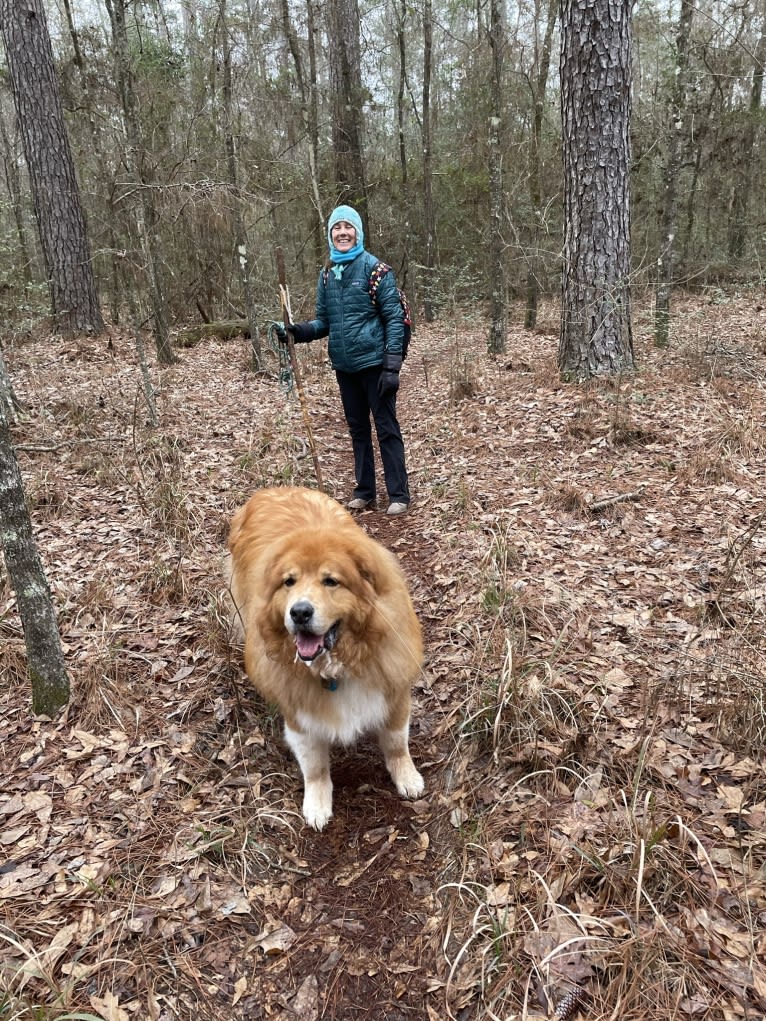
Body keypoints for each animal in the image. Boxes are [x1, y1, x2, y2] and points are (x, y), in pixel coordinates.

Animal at [227, 485, 426, 829]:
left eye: (330, 581)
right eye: (289, 582)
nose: (299, 612)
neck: (336, 668)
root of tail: (272, 489)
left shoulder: (393, 690)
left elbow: (397, 742)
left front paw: (407, 777)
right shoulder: (299, 715)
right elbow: (315, 766)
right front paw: (317, 804)